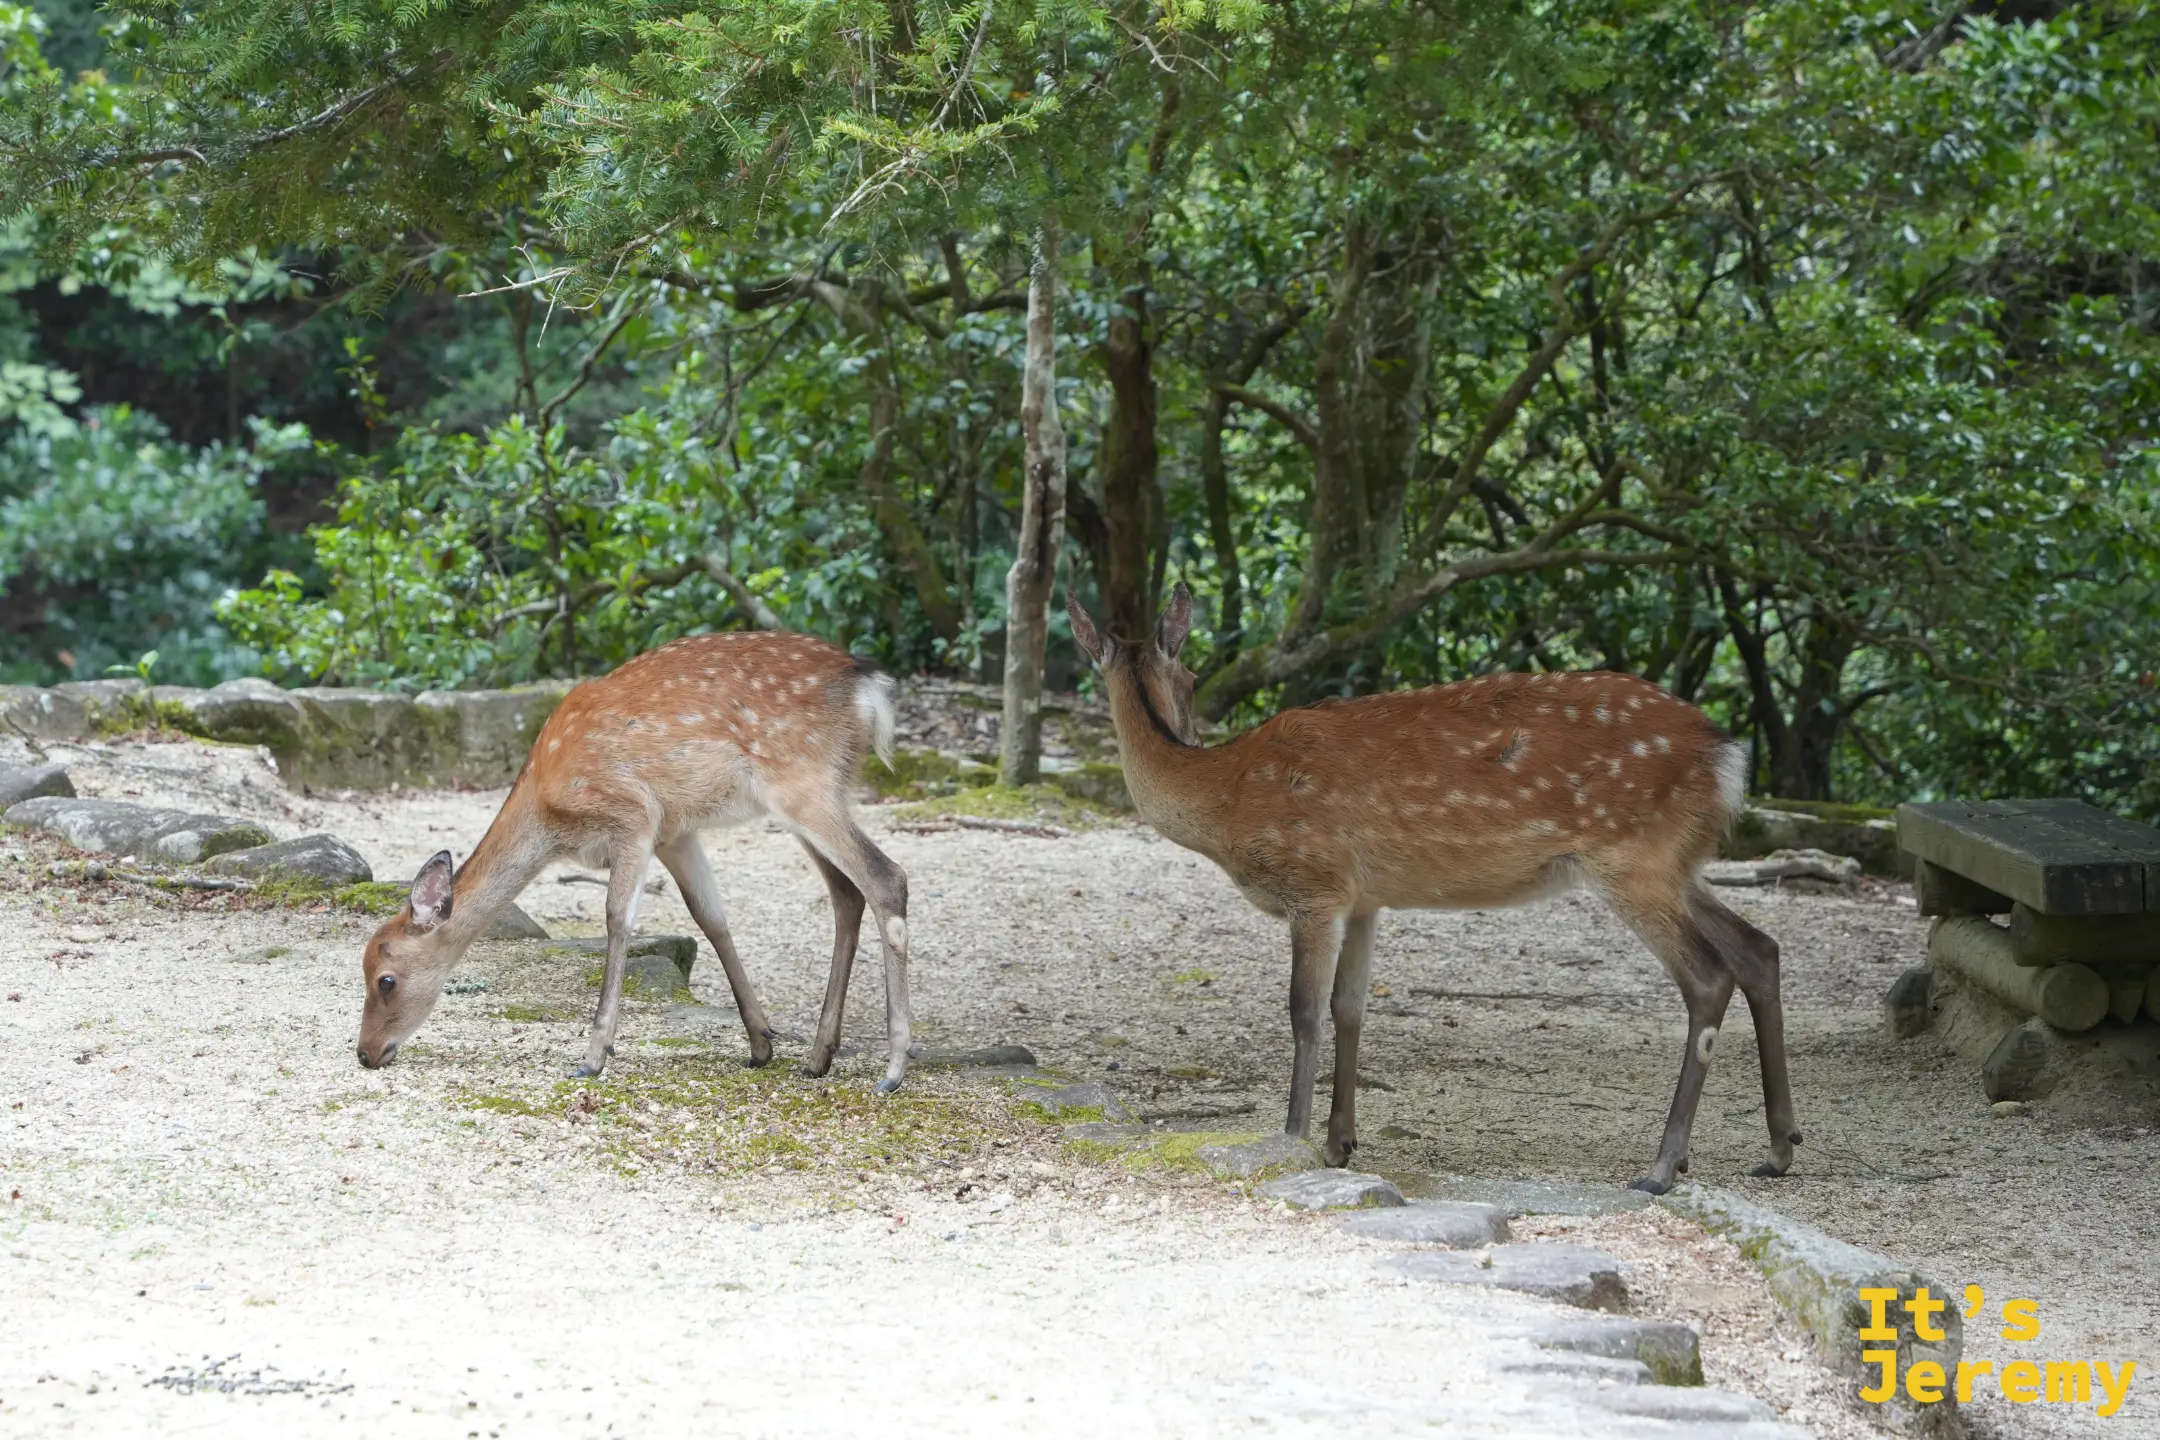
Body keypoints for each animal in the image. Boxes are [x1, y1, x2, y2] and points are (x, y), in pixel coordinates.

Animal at [354, 631, 916, 1092]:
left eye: (386, 979)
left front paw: (593, 1054)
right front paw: (761, 1042)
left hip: (801, 783)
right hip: (819, 792)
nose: (364, 1053)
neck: (549, 814)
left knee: (887, 877)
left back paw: (893, 1069)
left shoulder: (633, 815)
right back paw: (819, 1056)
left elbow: (616, 919)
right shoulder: (675, 832)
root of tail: (867, 685)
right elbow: (710, 916)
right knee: (847, 894)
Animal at [1067, 583, 1798, 1195]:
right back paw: (1780, 1147)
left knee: (1708, 976)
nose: (1190, 725)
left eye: (1193, 676)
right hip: (1677, 863)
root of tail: (1728, 757)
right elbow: (1350, 1007)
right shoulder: (1364, 898)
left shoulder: (1315, 881)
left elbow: (1304, 1012)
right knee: (1759, 946)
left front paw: (1292, 1139)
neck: (1225, 799)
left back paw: (1662, 1167)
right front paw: (1339, 1143)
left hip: (1632, 856)